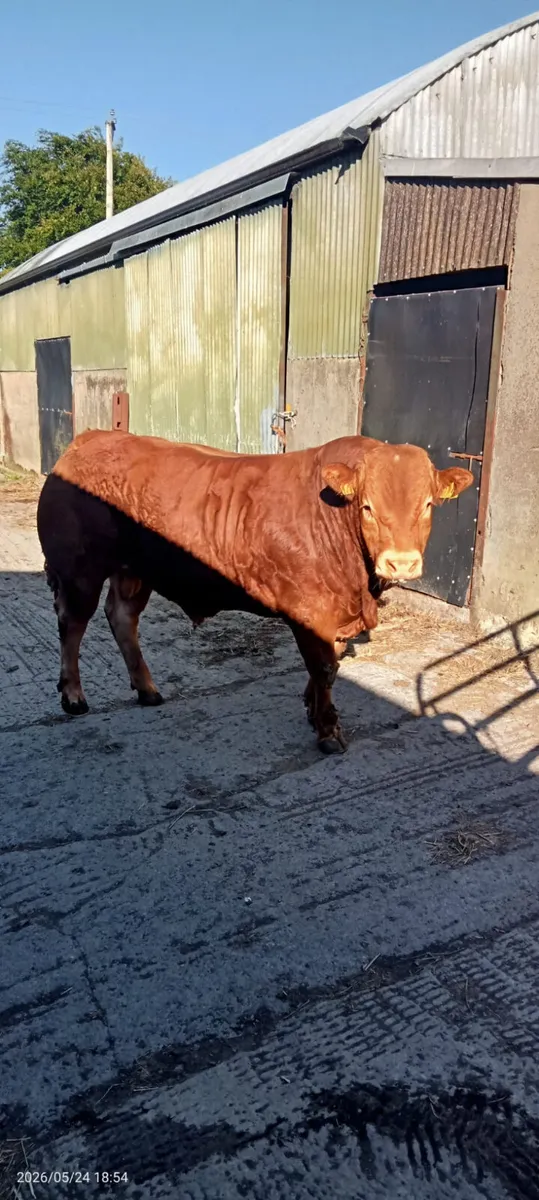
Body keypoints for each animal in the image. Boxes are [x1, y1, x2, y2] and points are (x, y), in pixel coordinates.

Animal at [36, 429, 473, 752]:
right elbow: (324, 668)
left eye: (428, 505)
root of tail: (87, 439)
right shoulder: (310, 610)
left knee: (122, 617)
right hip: (79, 570)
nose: (402, 562)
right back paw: (73, 696)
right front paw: (328, 730)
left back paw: (147, 690)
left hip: (135, 570)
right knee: (72, 625)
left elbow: (326, 666)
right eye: (367, 506)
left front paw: (313, 710)